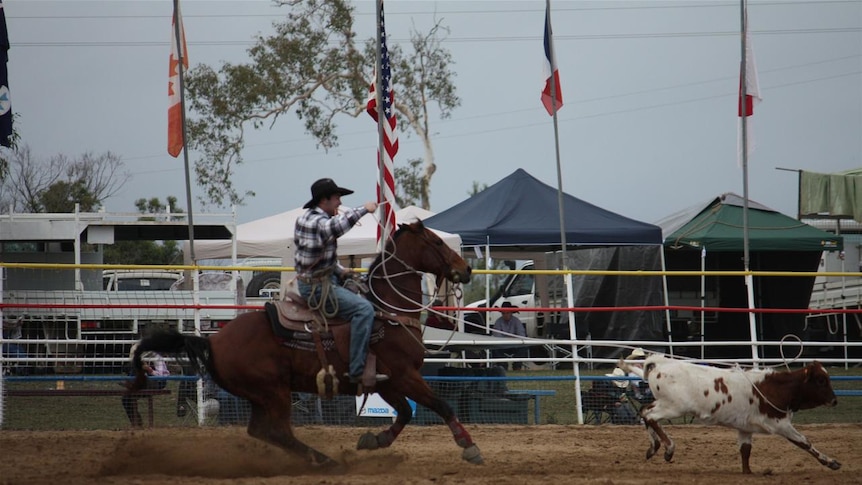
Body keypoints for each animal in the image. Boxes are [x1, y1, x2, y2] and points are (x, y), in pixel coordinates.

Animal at [129, 219, 482, 466]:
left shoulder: (386, 381)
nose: (466, 268)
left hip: (261, 395)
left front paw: (373, 440)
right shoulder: (405, 374)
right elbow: (442, 405)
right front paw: (470, 447)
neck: (388, 312)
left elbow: (406, 413)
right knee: (277, 431)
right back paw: (325, 461)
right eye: (436, 241)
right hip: (274, 391)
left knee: (262, 431)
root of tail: (213, 342)